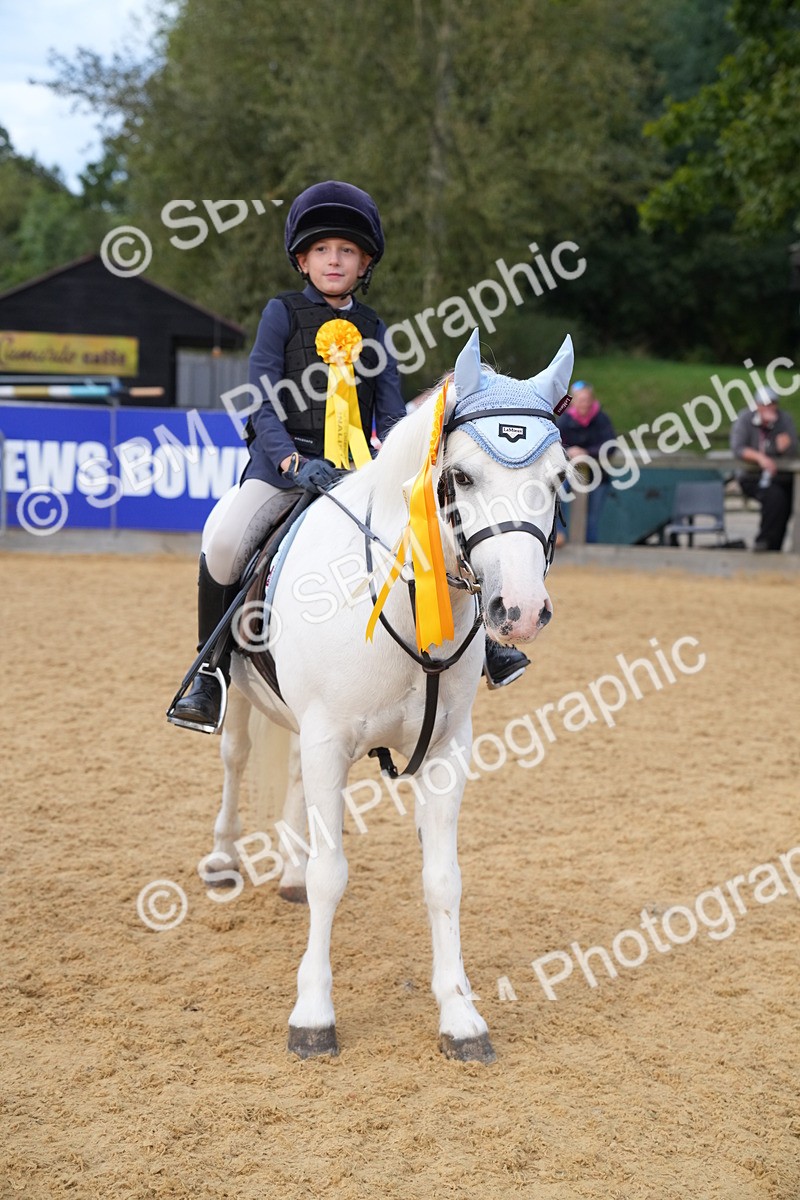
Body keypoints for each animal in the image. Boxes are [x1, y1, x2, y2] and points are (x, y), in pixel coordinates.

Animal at [198, 328, 573, 1062]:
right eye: (462, 477)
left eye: (556, 481)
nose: (520, 611)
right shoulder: (329, 739)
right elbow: (332, 875)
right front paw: (313, 1016)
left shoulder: (446, 752)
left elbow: (442, 880)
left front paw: (460, 1017)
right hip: (244, 696)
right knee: (233, 758)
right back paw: (225, 858)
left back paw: (286, 871)